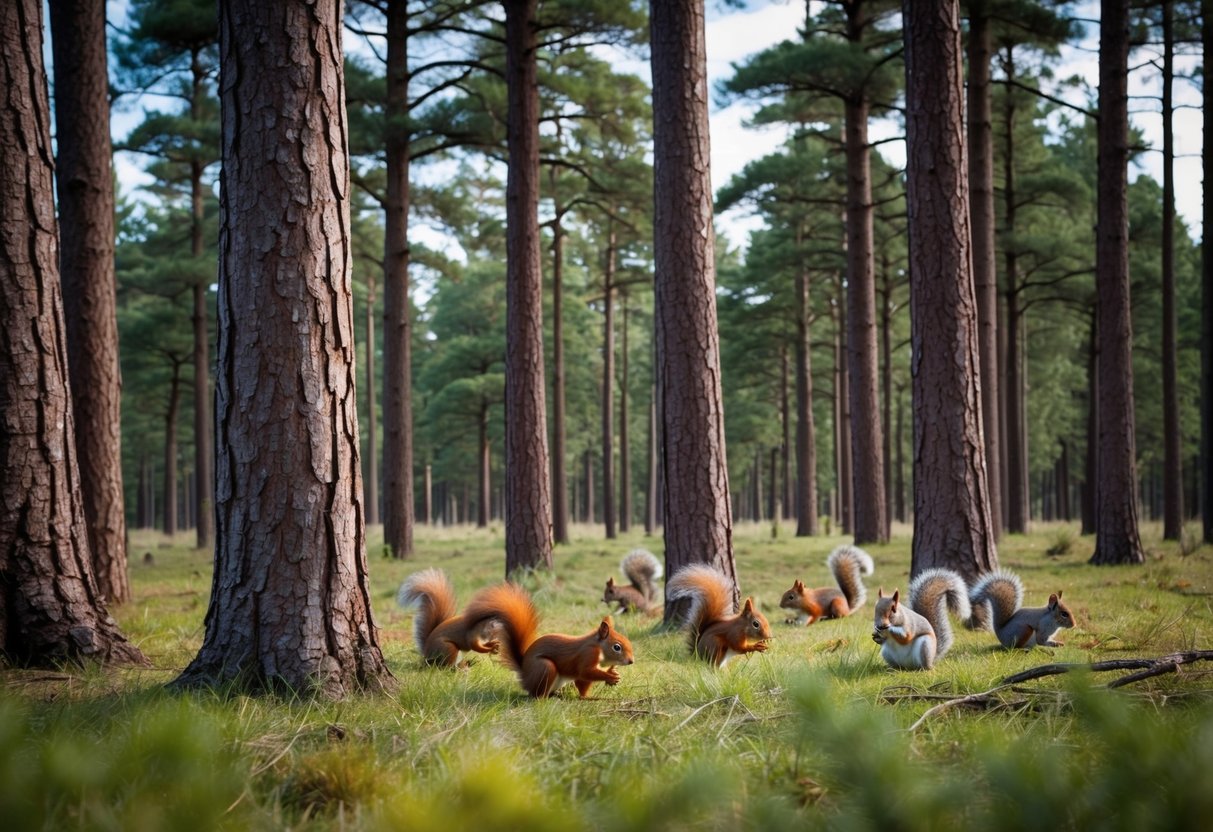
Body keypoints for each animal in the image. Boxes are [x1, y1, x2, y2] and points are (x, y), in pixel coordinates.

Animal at [461, 582, 635, 698]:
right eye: (617, 647)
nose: (631, 661)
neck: (598, 647)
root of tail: (525, 675)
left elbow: (582, 684)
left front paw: (612, 676)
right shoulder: (587, 654)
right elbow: (585, 672)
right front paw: (609, 677)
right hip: (545, 668)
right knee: (537, 694)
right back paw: (547, 698)